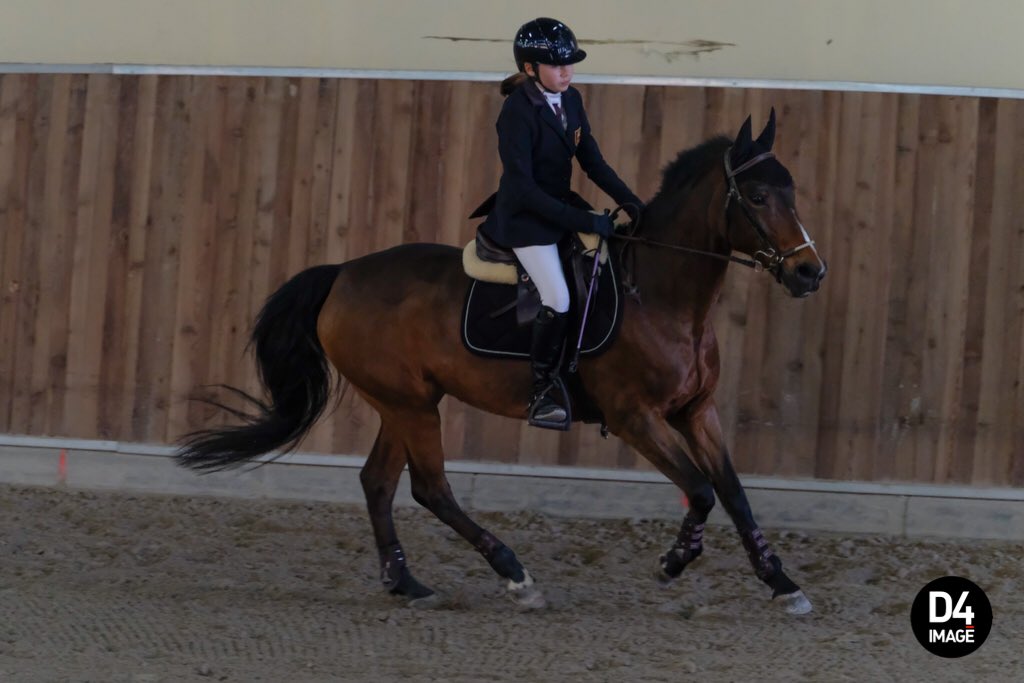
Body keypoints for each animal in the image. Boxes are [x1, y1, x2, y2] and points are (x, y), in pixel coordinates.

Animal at [176, 109, 827, 615]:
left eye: (793, 194)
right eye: (758, 197)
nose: (809, 273)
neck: (662, 295)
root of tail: (343, 274)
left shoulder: (696, 412)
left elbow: (733, 492)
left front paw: (782, 584)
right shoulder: (636, 417)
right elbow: (700, 490)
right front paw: (672, 563)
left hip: (406, 400)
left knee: (379, 482)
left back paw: (407, 583)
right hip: (410, 404)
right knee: (431, 488)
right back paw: (516, 576)